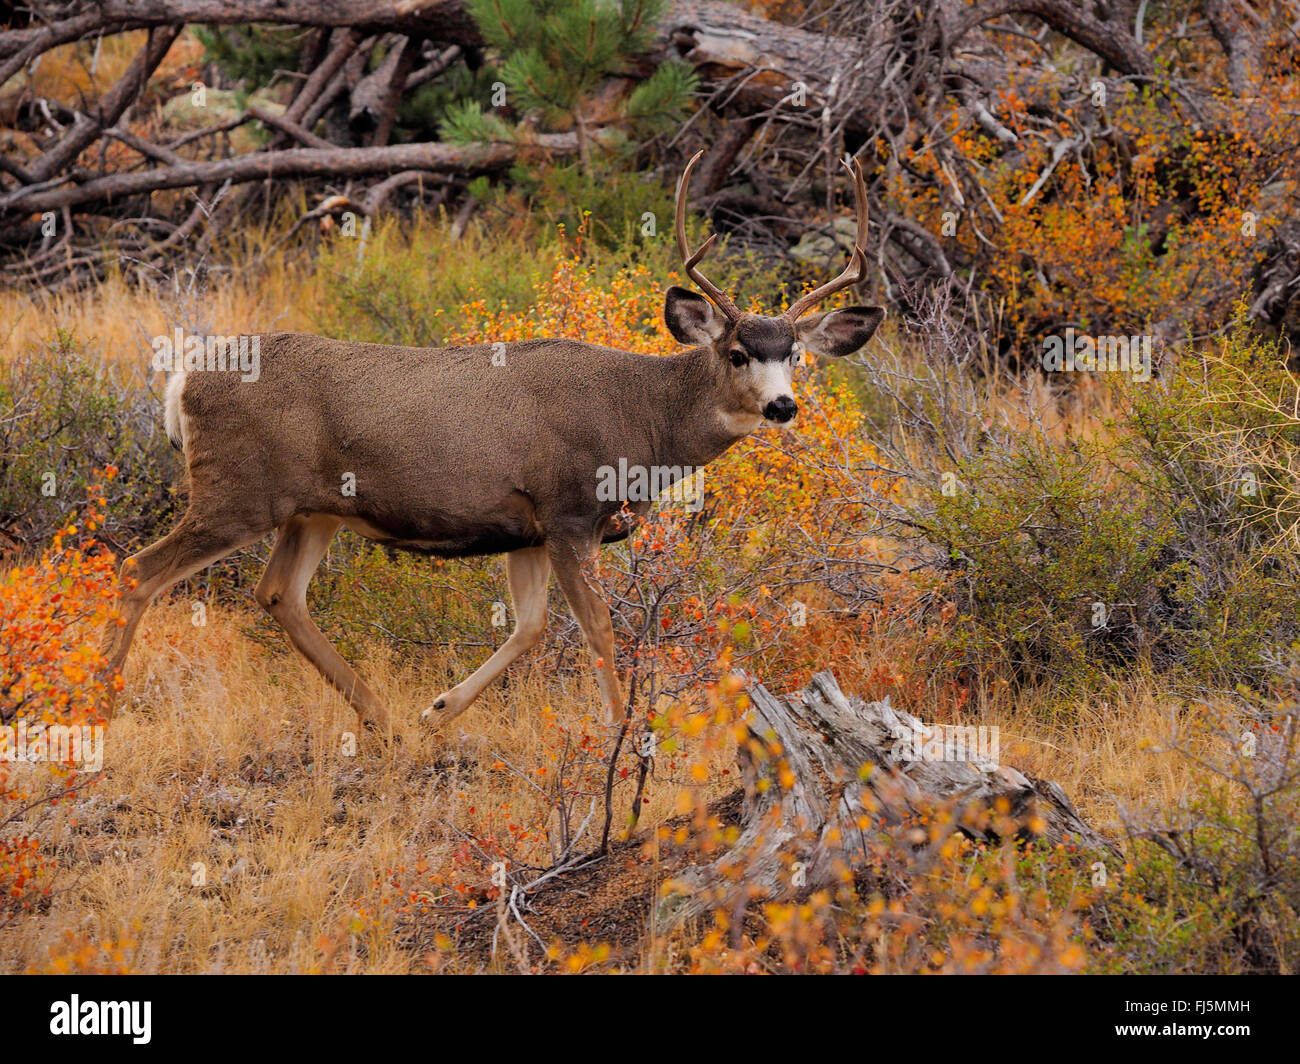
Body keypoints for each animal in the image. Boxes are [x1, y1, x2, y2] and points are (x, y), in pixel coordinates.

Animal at [101, 151, 885, 734]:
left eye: (796, 354)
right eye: (737, 353)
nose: (783, 405)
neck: (640, 418)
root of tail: (183, 379)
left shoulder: (526, 530)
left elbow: (531, 628)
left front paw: (439, 709)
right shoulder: (568, 512)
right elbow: (599, 629)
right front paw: (626, 737)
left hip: (311, 509)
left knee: (276, 595)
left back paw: (386, 720)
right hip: (238, 489)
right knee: (139, 569)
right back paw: (97, 703)